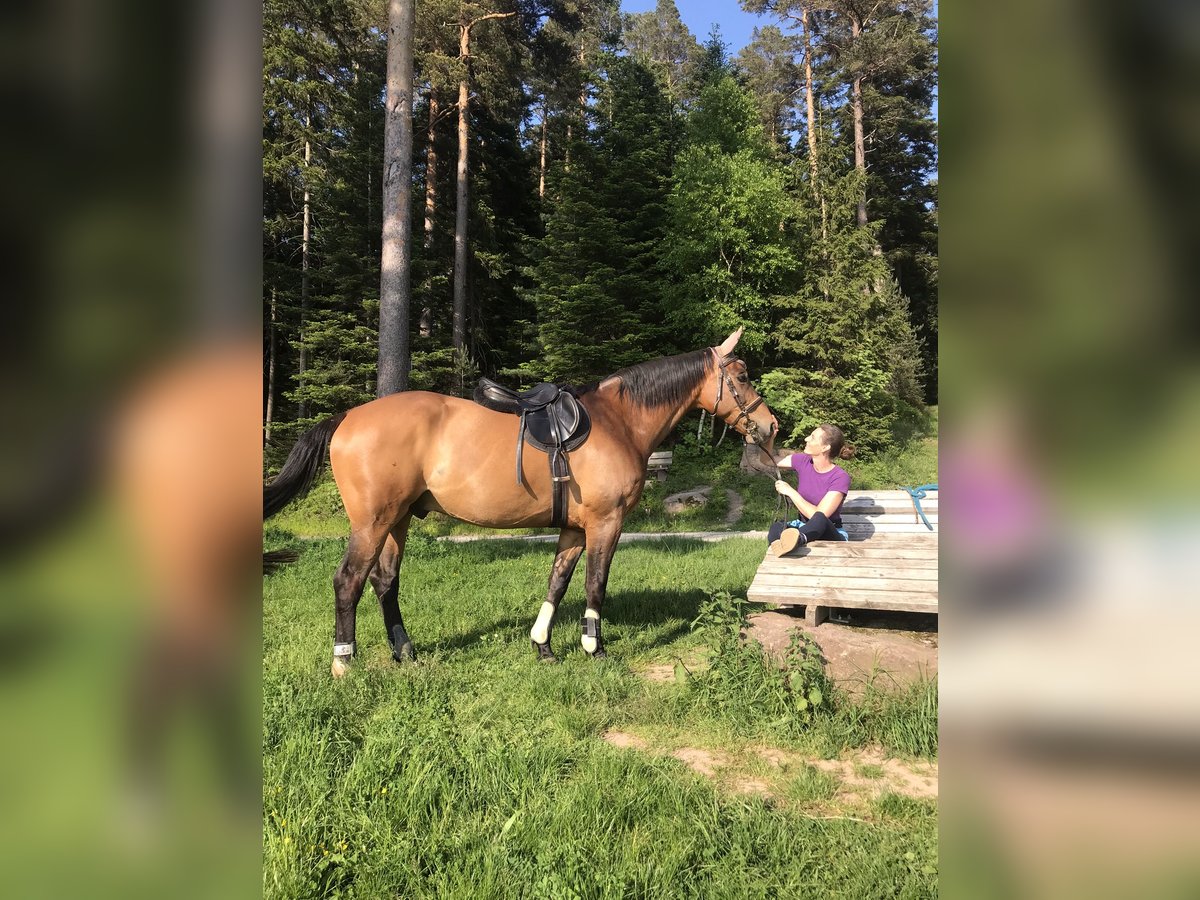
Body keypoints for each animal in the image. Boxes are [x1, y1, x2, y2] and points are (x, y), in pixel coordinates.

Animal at [265, 328, 777, 676]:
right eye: (743, 375)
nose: (770, 426)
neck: (619, 421)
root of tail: (347, 416)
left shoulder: (574, 528)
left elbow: (558, 582)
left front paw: (543, 646)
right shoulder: (605, 523)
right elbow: (595, 585)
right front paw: (595, 649)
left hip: (399, 521)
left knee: (385, 582)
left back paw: (406, 653)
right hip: (372, 522)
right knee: (348, 581)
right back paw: (344, 664)